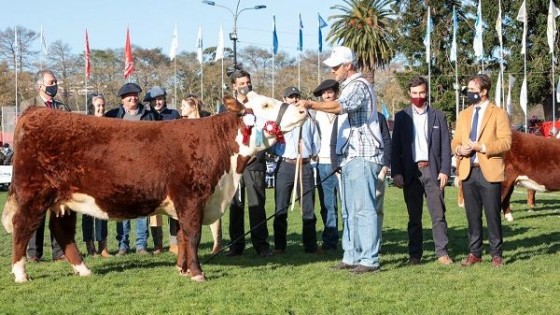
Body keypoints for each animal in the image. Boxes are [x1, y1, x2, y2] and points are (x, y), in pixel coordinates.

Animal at [1, 91, 306, 284]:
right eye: (265, 105)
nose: (303, 109)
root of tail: (35, 112)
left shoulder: (185, 203)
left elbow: (181, 236)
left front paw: (183, 270)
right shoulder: (191, 197)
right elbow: (192, 235)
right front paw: (198, 273)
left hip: (65, 198)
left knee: (62, 231)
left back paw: (84, 270)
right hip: (33, 194)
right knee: (22, 227)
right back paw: (21, 274)